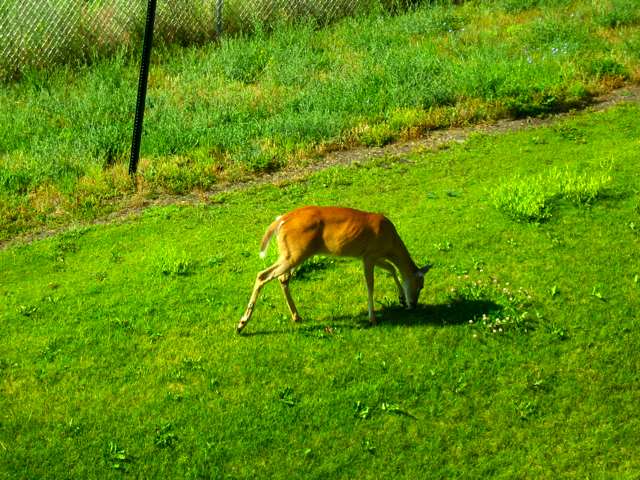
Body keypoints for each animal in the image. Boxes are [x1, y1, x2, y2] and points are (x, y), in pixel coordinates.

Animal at [238, 206, 432, 334]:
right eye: (420, 285)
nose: (414, 305)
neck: (391, 243)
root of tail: (281, 220)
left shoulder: (372, 256)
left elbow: (391, 269)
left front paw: (400, 298)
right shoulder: (369, 255)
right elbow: (370, 285)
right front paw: (373, 319)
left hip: (291, 253)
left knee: (282, 279)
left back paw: (296, 317)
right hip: (294, 253)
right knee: (262, 275)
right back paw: (241, 324)